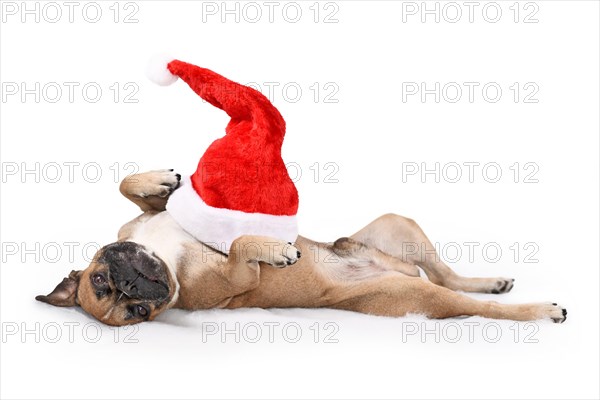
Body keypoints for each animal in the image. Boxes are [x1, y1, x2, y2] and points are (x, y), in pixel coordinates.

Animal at [35, 169, 568, 324]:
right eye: (136, 314)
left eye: (100, 276)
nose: (130, 283)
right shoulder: (237, 275)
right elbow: (242, 248)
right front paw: (275, 250)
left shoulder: (143, 218)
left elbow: (129, 185)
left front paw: (159, 179)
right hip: (420, 295)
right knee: (464, 300)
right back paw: (538, 310)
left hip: (400, 227)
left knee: (447, 273)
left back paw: (492, 281)